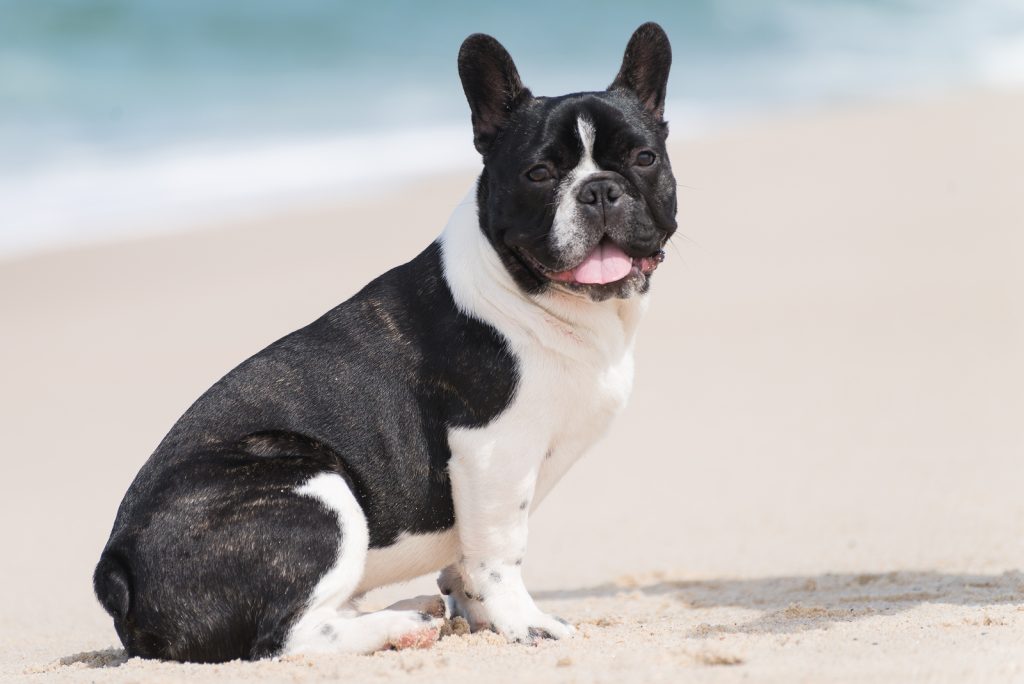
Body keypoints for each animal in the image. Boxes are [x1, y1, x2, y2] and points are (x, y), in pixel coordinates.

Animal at [94, 22, 671, 663]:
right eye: (539, 175)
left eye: (645, 158)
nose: (599, 189)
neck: (538, 297)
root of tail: (117, 570)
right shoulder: (493, 451)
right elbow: (499, 552)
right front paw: (524, 623)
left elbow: (467, 559)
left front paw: (479, 616)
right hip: (315, 488)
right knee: (286, 638)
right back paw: (399, 625)